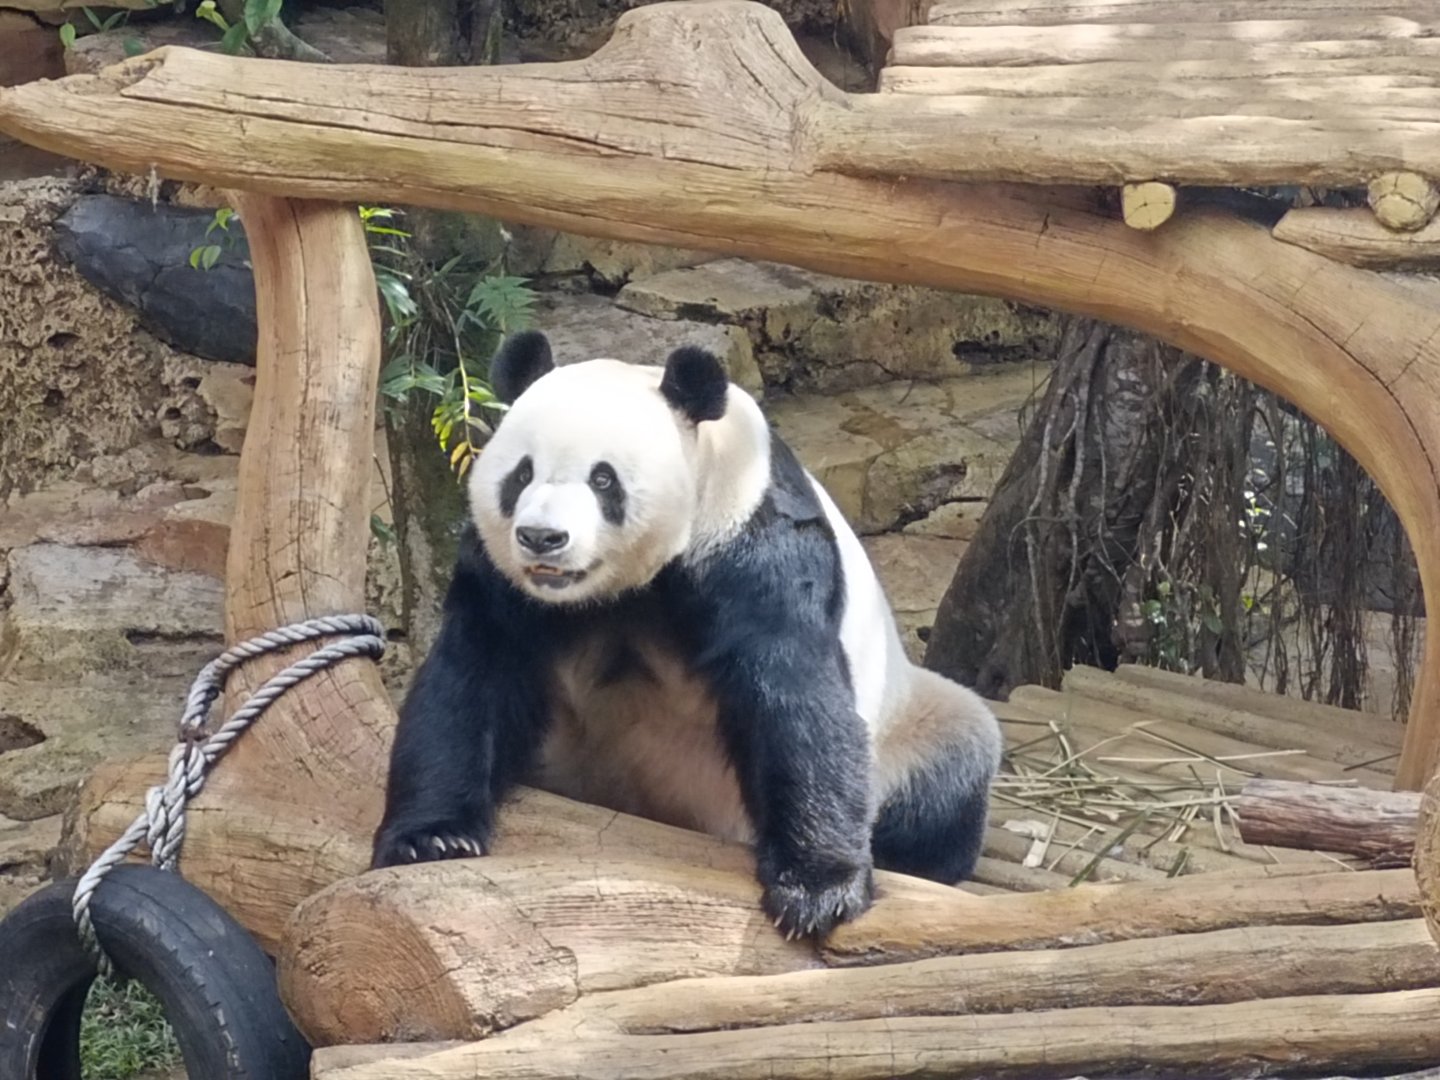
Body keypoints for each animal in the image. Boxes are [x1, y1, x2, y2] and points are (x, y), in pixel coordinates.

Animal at [371, 330, 1003, 939]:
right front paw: (432, 838)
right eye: (521, 474)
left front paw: (818, 889)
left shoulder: (748, 537)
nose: (542, 538)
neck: (620, 589)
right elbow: (472, 673)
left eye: (604, 479)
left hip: (907, 729)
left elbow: (794, 694)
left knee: (954, 762)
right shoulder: (501, 577)